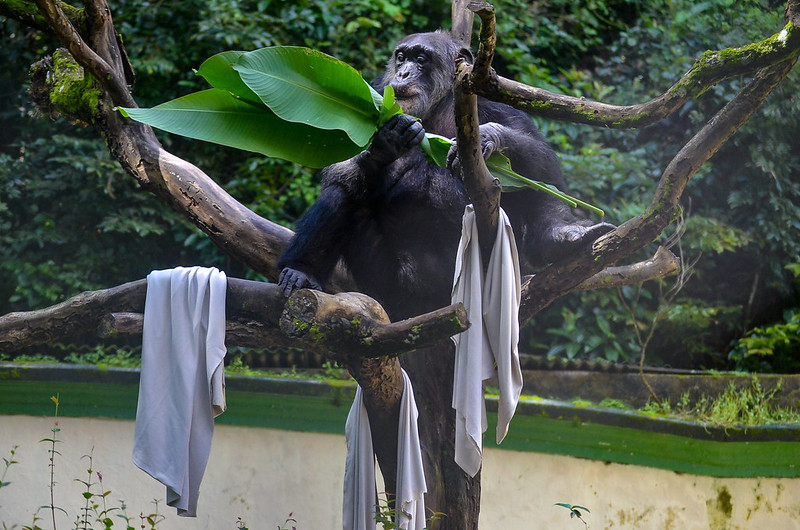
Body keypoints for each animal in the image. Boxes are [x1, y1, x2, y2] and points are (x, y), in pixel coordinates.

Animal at [278, 31, 608, 320]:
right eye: (401, 57)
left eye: (421, 59)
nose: (404, 73)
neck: (441, 102)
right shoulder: (377, 91)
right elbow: (340, 166)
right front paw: (386, 142)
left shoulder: (494, 103)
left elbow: (539, 155)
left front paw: (490, 136)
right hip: (388, 286)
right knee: (344, 192)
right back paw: (300, 270)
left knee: (532, 180)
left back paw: (563, 236)